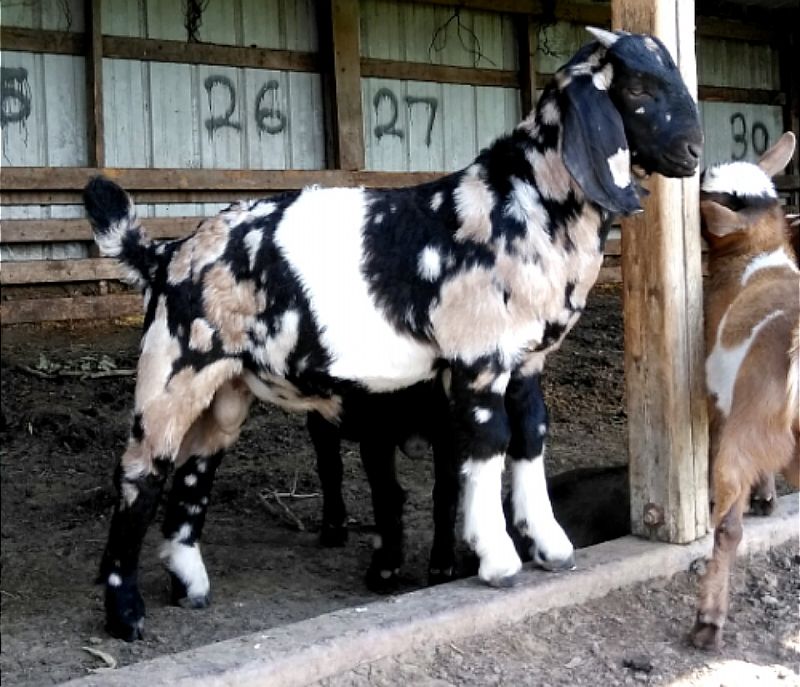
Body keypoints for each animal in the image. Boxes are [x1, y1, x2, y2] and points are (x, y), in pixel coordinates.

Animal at [84, 26, 704, 640]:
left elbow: (531, 438)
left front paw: (551, 547)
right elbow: (490, 444)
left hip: (226, 390)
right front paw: (497, 561)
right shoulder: (479, 357)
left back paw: (189, 587)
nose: (695, 152)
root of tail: (166, 255)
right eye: (639, 87)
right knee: (141, 474)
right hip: (172, 370)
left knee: (194, 471)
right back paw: (125, 615)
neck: (522, 205)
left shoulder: (526, 362)